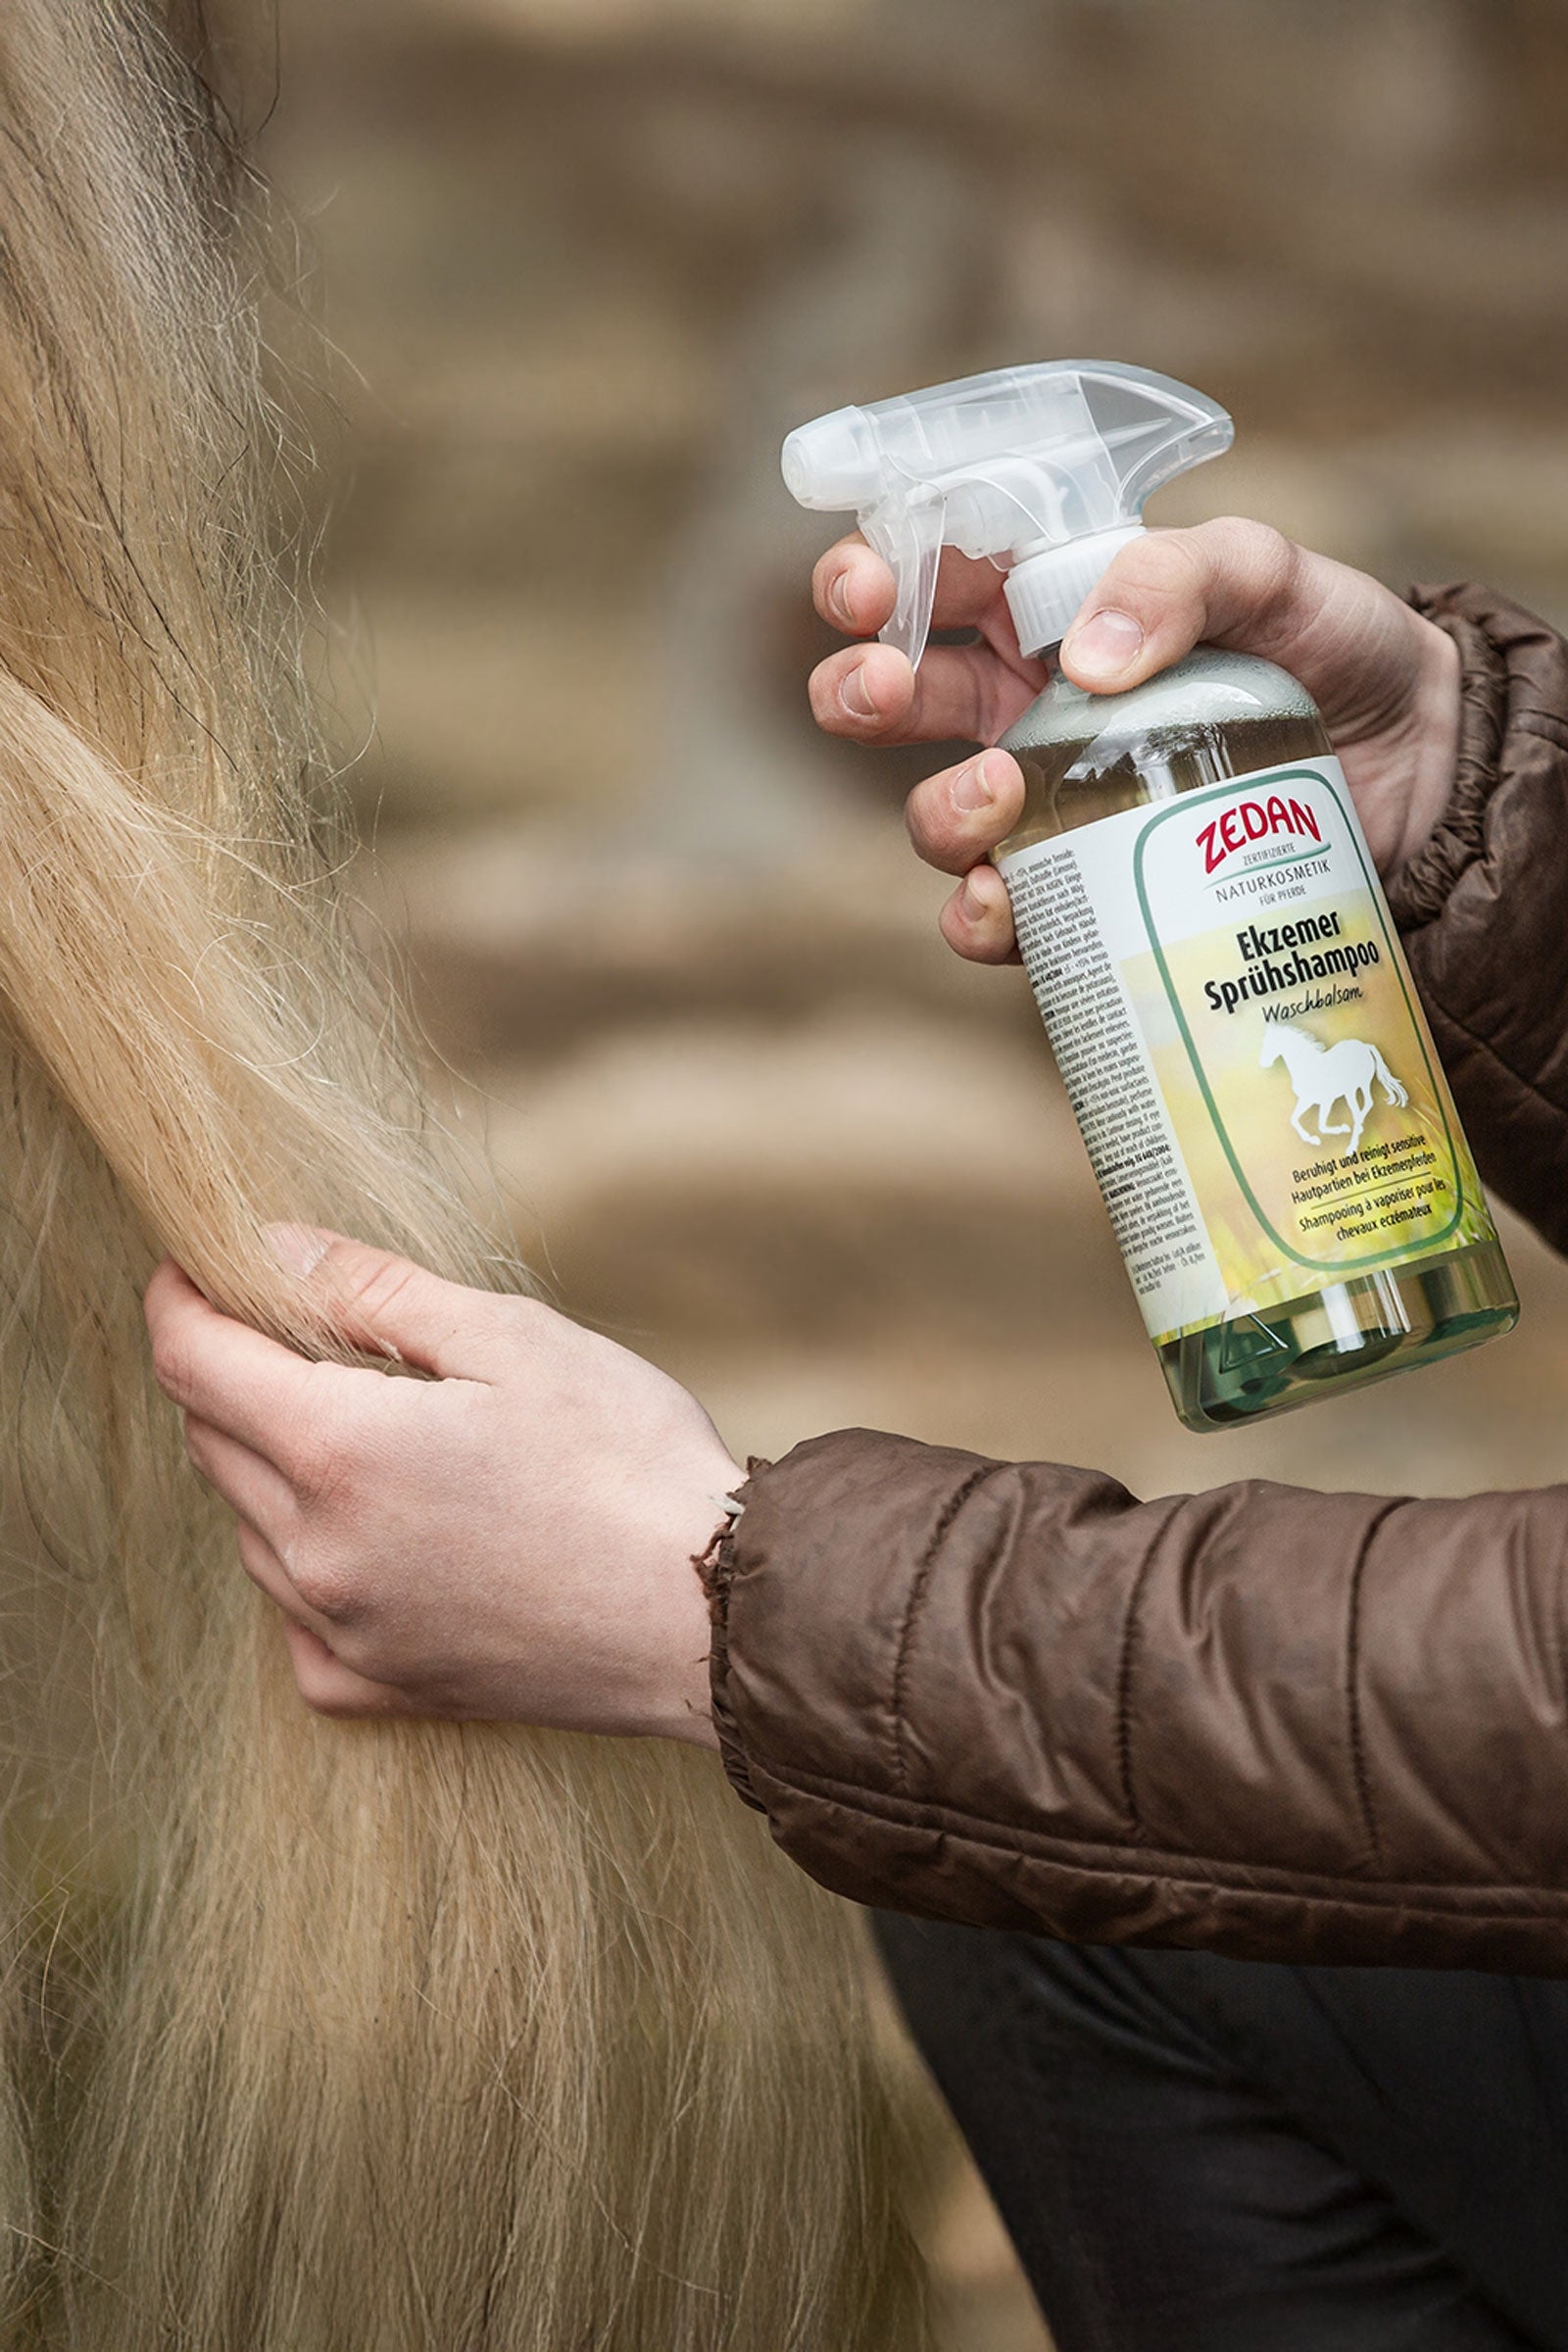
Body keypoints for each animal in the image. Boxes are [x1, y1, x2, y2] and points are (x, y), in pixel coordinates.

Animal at [1259, 1021, 1408, 1156]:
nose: (1263, 1063)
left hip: (1357, 1087)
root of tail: (1365, 1046)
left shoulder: (1326, 1100)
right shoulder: (1307, 1100)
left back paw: (1352, 1145)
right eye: (1264, 1042)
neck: (1308, 1067)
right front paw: (1312, 1139)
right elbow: (1294, 1119)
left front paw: (1342, 1129)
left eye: (1270, 1043)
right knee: (1366, 1106)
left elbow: (1322, 1125)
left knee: (1361, 1108)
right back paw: (1359, 1129)